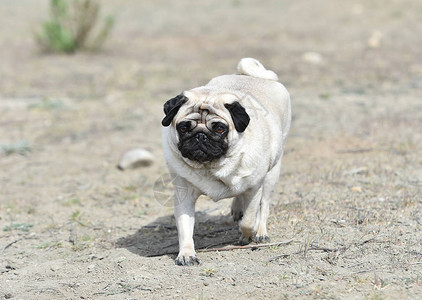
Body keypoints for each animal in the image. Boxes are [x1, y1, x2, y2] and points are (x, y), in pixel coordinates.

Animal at [161, 57, 290, 266]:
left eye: (220, 128)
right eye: (183, 128)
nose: (200, 136)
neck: (212, 167)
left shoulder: (254, 188)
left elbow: (249, 219)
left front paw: (247, 235)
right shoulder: (184, 195)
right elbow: (185, 227)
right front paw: (187, 254)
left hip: (272, 174)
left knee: (264, 205)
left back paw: (260, 232)